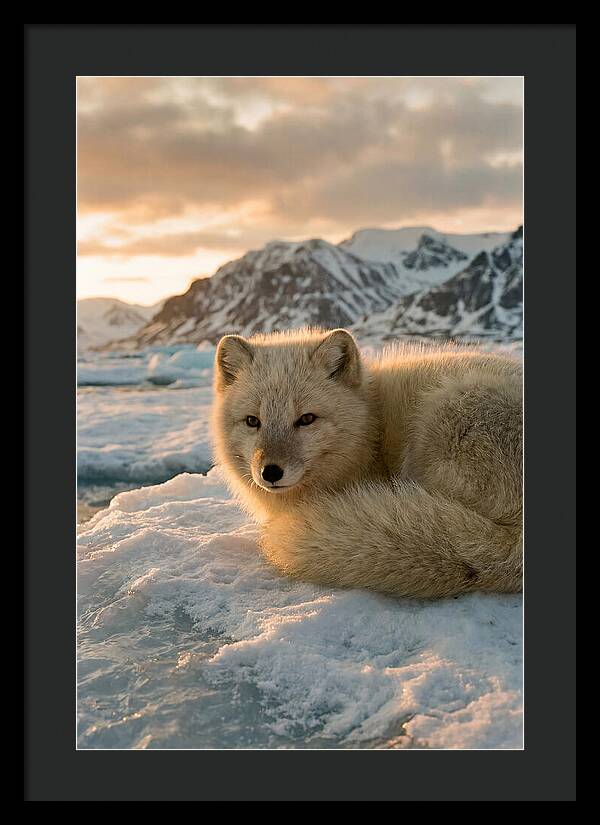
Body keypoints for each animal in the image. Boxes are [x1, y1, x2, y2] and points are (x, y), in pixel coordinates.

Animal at [212, 328, 522, 599]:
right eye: (253, 421)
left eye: (307, 419)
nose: (271, 472)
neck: (371, 426)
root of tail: (515, 547)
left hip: (443, 414)